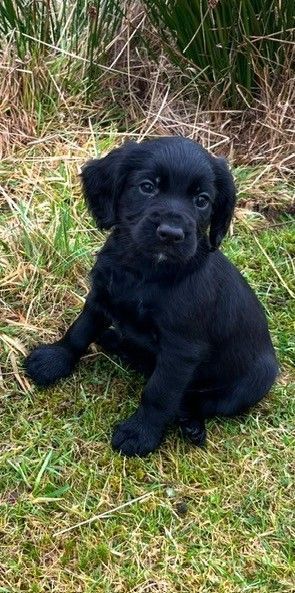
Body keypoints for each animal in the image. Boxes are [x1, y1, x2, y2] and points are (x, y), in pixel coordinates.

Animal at [25, 136, 280, 456]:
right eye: (147, 187)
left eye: (202, 200)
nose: (171, 234)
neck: (144, 272)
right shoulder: (100, 298)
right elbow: (79, 331)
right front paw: (54, 361)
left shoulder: (181, 349)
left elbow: (160, 392)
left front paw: (141, 433)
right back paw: (116, 342)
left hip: (254, 381)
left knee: (198, 401)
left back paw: (192, 425)